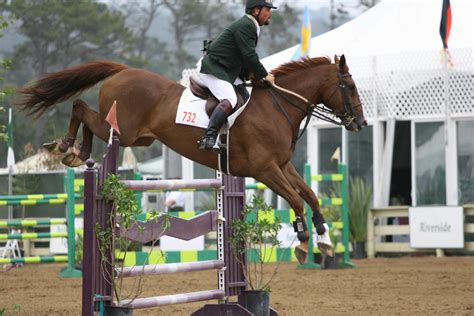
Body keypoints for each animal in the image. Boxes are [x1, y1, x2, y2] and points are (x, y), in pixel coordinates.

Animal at [15, 55, 366, 262]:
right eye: (349, 85)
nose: (360, 124)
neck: (277, 107)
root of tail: (124, 71)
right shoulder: (265, 170)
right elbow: (294, 199)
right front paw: (303, 242)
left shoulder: (282, 165)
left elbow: (310, 195)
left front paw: (324, 240)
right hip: (124, 132)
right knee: (79, 107)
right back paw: (67, 147)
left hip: (137, 138)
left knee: (87, 117)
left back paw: (79, 152)